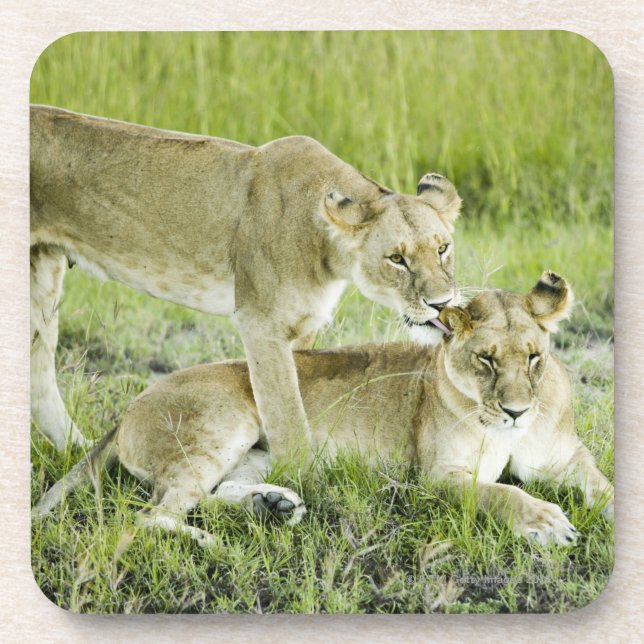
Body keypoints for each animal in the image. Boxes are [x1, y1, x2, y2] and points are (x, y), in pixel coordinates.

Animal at [30, 105, 462, 461]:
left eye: (443, 248)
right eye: (396, 259)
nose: (442, 303)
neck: (329, 253)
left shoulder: (302, 326)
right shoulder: (261, 324)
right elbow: (286, 414)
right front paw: (304, 482)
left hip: (43, 275)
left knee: (39, 373)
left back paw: (83, 452)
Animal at [34, 271, 613, 547]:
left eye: (534, 358)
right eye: (486, 360)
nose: (516, 412)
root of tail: (129, 408)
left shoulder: (565, 458)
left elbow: (603, 487)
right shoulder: (439, 476)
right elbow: (500, 493)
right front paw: (547, 521)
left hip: (263, 452)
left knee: (209, 496)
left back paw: (273, 506)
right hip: (226, 420)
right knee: (156, 515)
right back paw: (215, 542)